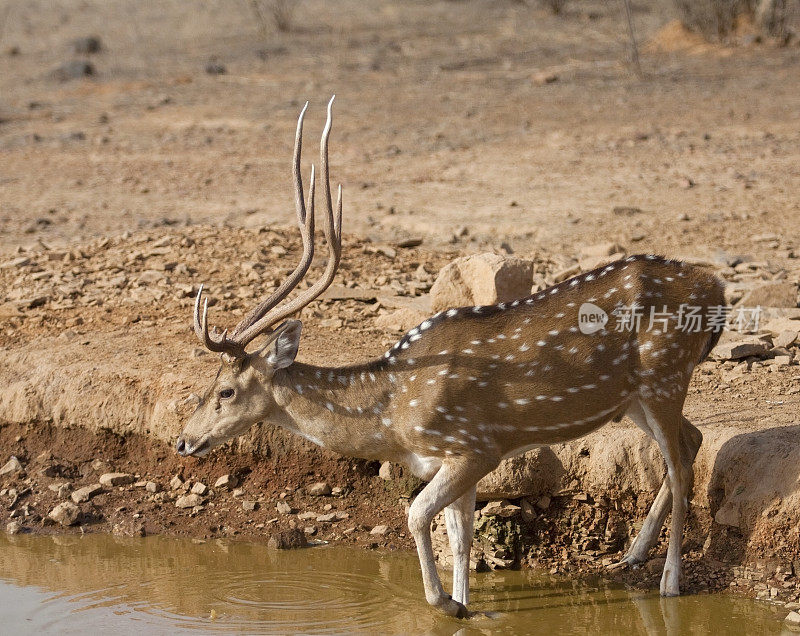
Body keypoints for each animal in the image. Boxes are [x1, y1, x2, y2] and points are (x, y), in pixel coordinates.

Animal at [175, 98, 724, 616]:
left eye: (225, 390)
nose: (183, 441)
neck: (393, 416)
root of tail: (715, 289)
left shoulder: (476, 444)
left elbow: (417, 514)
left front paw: (444, 603)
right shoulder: (452, 457)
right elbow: (460, 537)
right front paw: (465, 604)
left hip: (664, 374)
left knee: (679, 465)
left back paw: (669, 582)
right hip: (633, 398)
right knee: (692, 441)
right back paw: (632, 555)